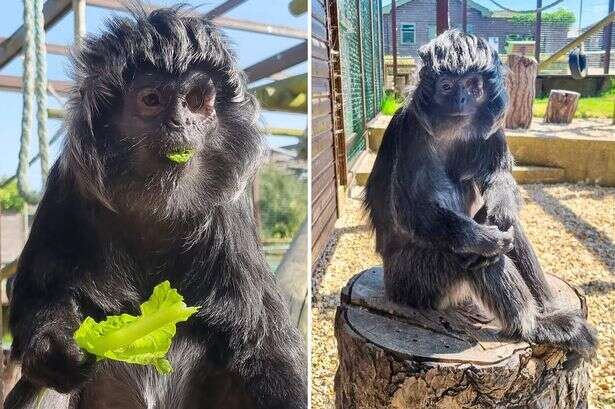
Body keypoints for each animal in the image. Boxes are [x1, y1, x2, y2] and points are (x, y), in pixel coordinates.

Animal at [6, 5, 308, 408]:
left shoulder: (229, 211)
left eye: (195, 101)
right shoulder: (68, 183)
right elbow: (34, 298)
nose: (180, 122)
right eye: (151, 100)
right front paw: (57, 346)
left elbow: (262, 340)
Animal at [366, 31, 596, 356]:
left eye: (473, 85)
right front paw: (484, 239)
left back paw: (549, 309)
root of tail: (391, 287)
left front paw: (499, 213)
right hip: (416, 282)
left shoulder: (491, 127)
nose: (461, 99)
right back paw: (535, 325)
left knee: (511, 229)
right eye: (446, 86)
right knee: (469, 256)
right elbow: (412, 209)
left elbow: (498, 177)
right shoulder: (411, 127)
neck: (450, 127)